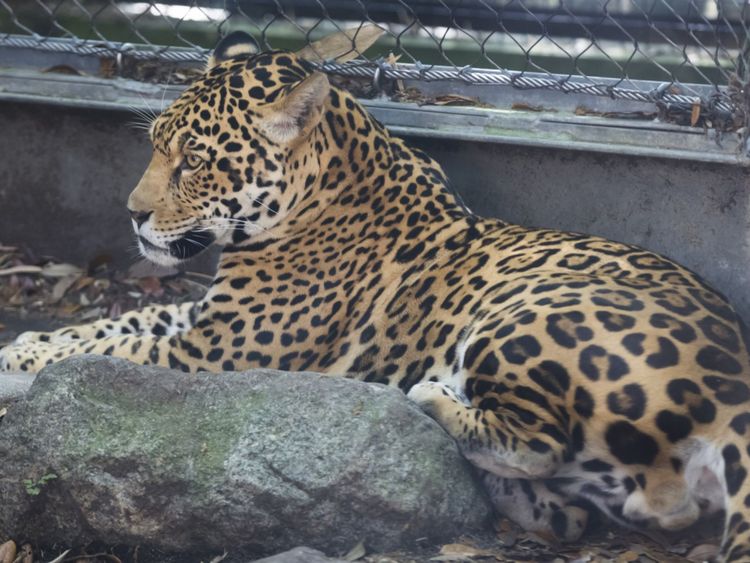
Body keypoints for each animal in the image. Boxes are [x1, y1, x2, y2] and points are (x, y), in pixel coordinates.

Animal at [2, 29, 750, 561]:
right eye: (157, 146)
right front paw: (27, 342)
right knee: (642, 508)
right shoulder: (205, 319)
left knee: (543, 441)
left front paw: (20, 361)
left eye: (194, 161)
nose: (132, 214)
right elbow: (119, 323)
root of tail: (733, 390)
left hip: (523, 316)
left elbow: (116, 345)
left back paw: (430, 399)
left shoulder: (215, 351)